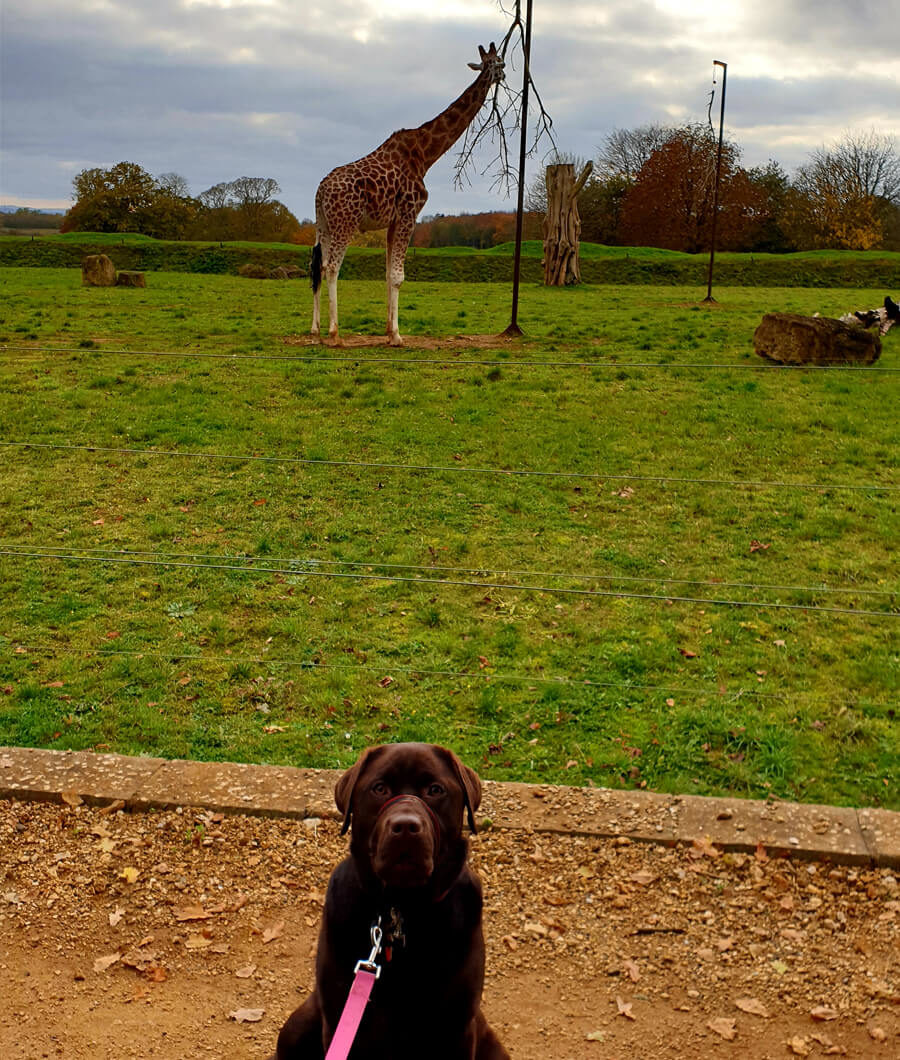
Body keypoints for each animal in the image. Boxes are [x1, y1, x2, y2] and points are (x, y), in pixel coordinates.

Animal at [311, 43, 502, 345]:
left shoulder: (392, 221)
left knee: (318, 267)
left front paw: (389, 332)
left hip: (323, 225)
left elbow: (389, 274)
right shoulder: (409, 213)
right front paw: (399, 337)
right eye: (499, 62)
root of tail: (320, 191)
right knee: (332, 267)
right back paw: (335, 333)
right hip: (346, 223)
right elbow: (399, 276)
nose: (504, 76)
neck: (425, 155)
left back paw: (315, 329)